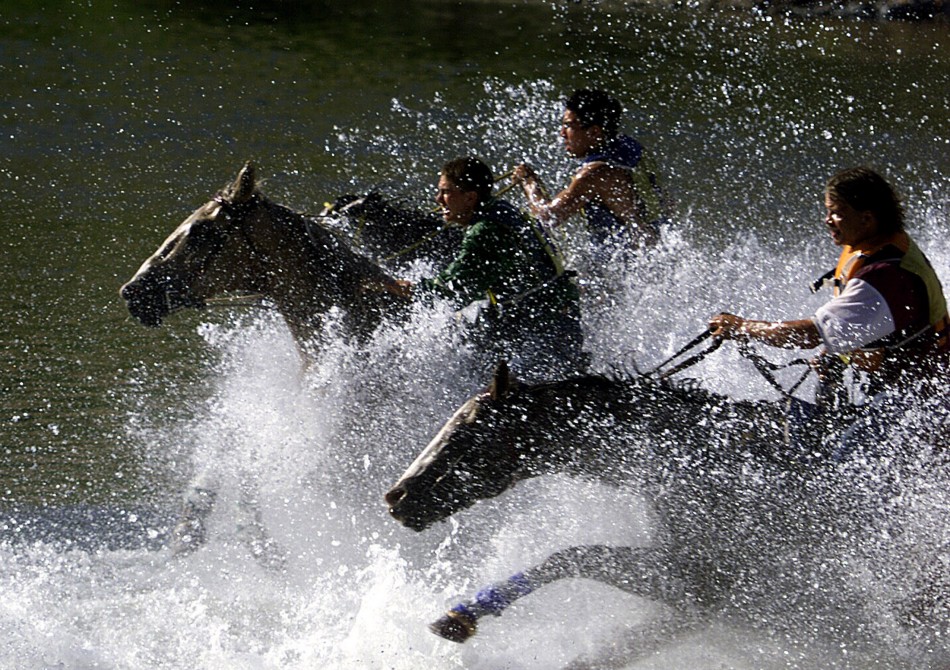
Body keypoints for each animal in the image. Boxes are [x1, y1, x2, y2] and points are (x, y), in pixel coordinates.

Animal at [384, 362, 948, 668]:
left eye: (467, 433)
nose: (397, 497)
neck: (698, 458)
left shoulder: (705, 584)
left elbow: (574, 556)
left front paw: (461, 616)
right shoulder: (697, 596)